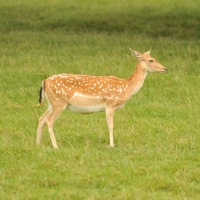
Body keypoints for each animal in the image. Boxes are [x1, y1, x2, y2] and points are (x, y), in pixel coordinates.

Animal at [36, 49, 166, 148]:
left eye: (153, 58)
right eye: (151, 60)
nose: (165, 68)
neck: (126, 88)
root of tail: (44, 81)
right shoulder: (110, 104)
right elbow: (111, 125)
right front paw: (112, 145)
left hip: (51, 104)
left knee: (41, 118)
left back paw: (38, 143)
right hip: (59, 102)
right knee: (49, 121)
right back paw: (55, 146)